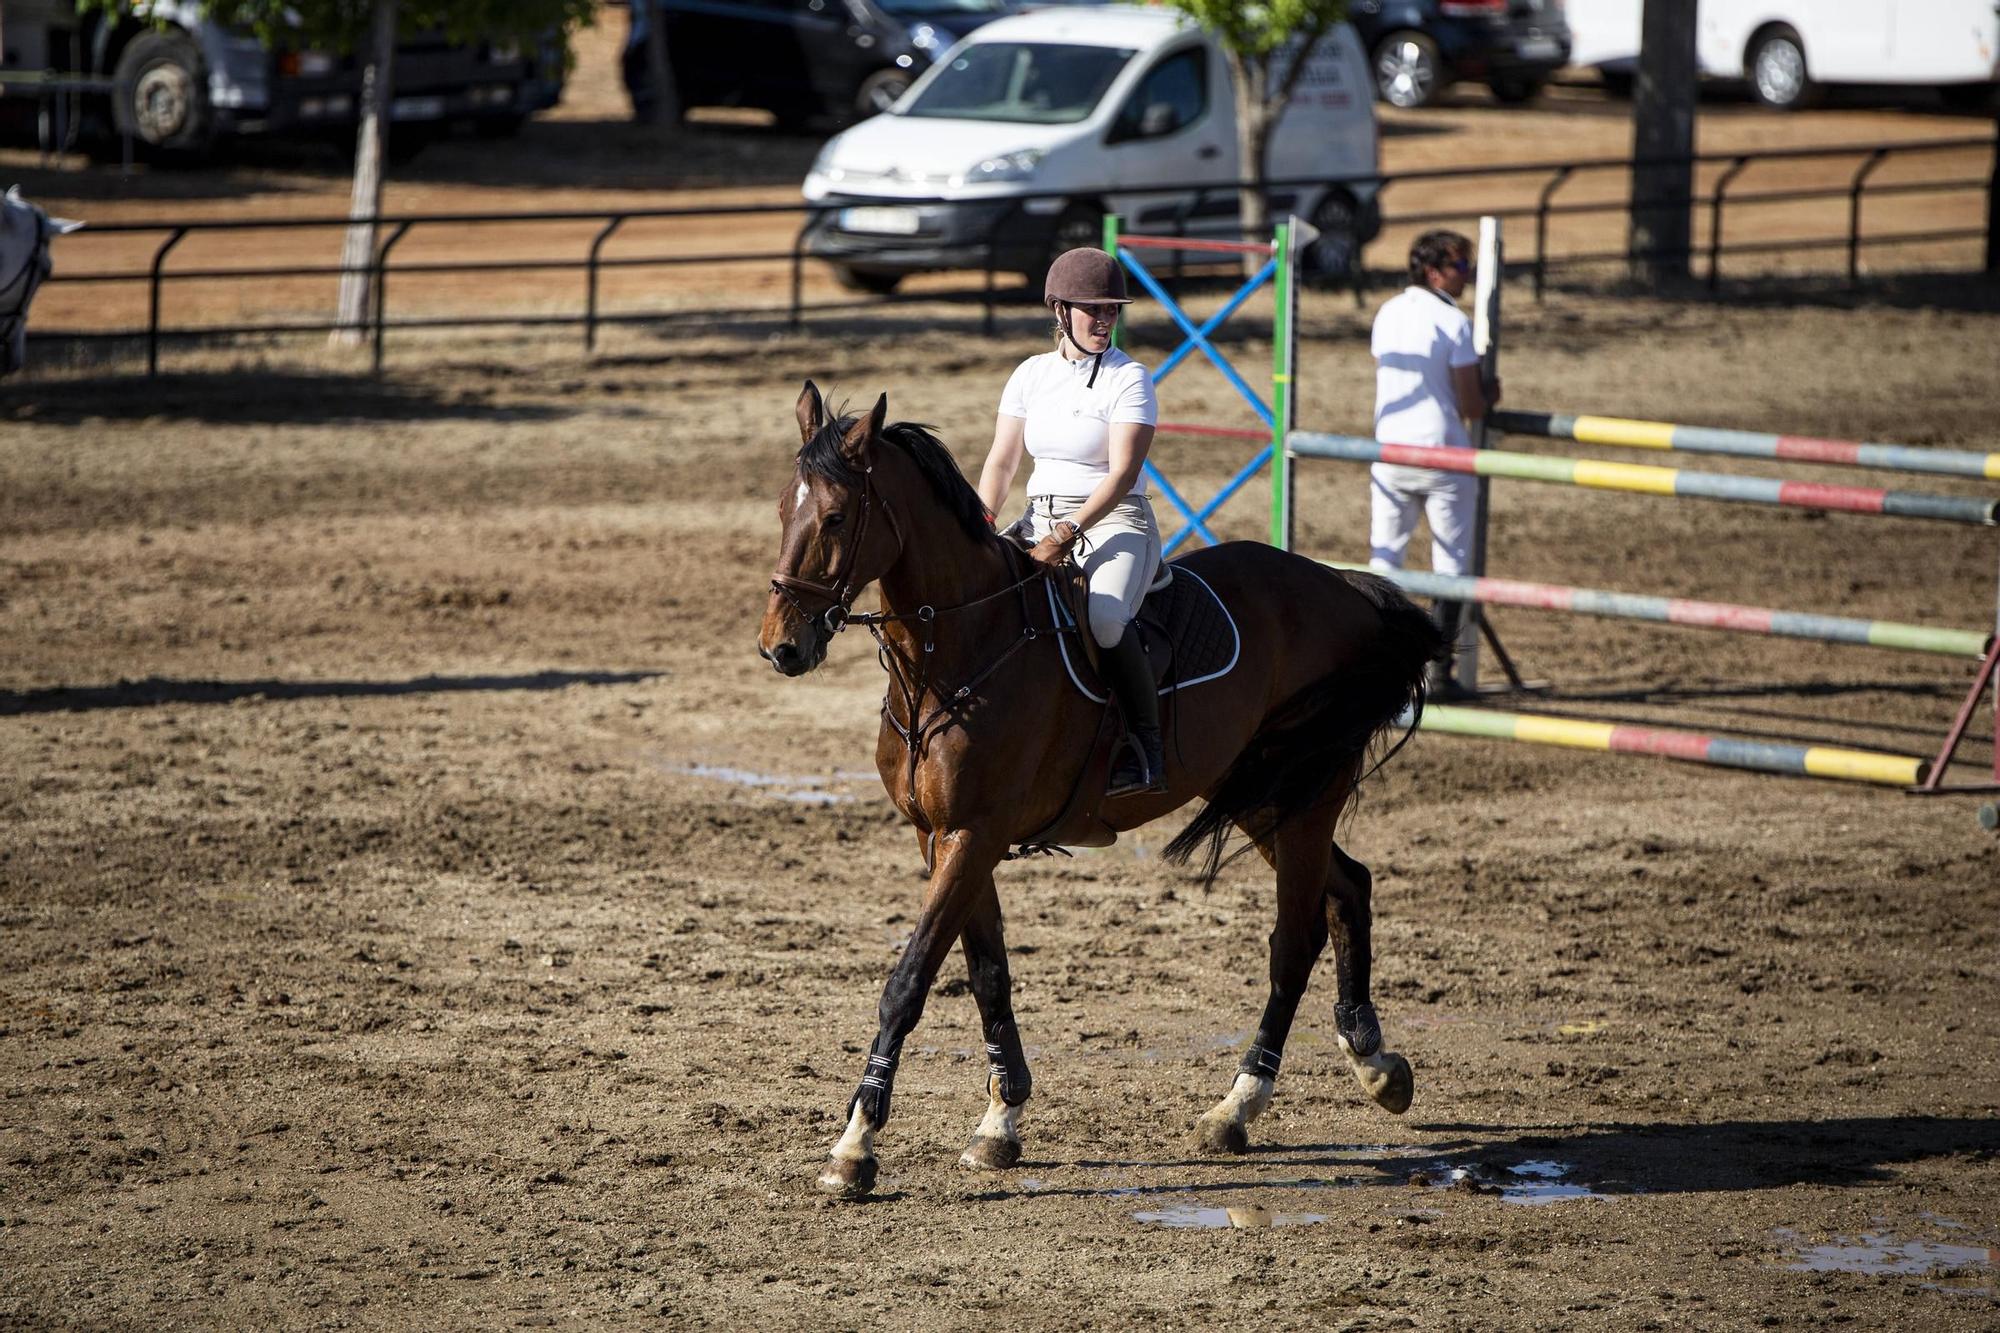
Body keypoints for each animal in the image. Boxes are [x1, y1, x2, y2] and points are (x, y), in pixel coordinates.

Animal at [760, 382, 1440, 1192]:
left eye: (835, 517)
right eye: (783, 509)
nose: (781, 647)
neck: (958, 651)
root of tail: (1342, 586)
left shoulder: (976, 834)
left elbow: (910, 979)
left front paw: (856, 1145)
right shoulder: (944, 835)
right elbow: (988, 974)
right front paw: (1000, 1122)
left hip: (1301, 793)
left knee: (1294, 938)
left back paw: (1237, 1106)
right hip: (1266, 797)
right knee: (1347, 888)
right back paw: (1376, 1062)